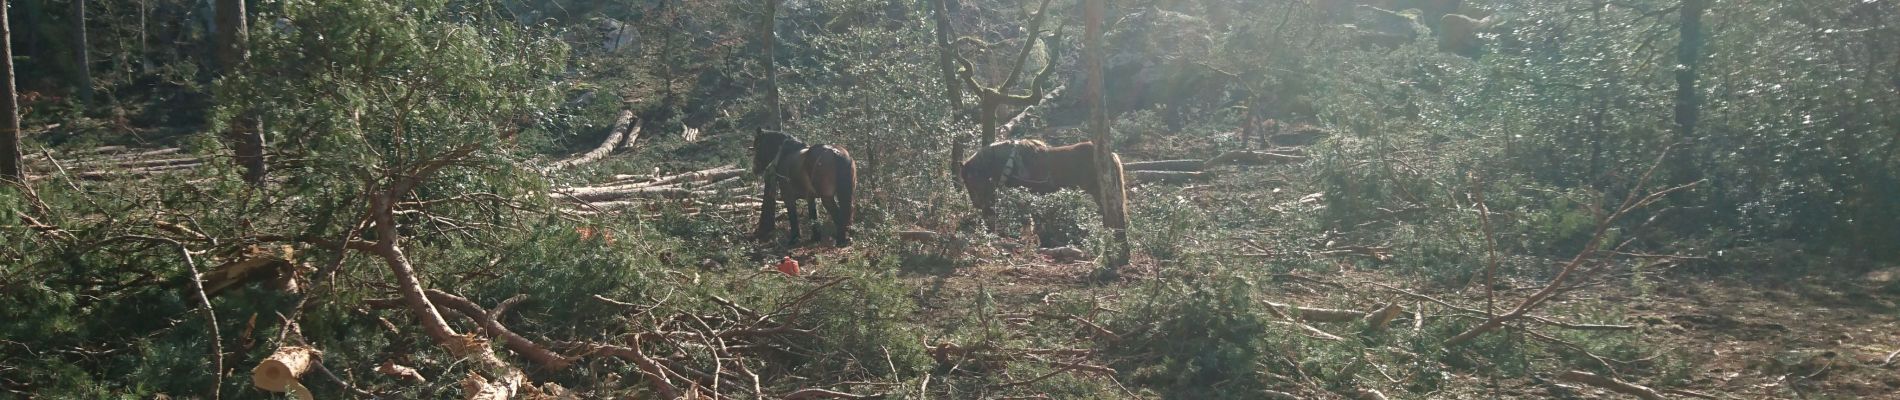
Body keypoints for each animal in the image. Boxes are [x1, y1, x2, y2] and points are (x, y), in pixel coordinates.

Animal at [957, 139, 1117, 231]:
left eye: (970, 180)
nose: (976, 204)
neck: (1012, 162)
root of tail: (1110, 155)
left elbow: (1028, 217)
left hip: (1097, 190)